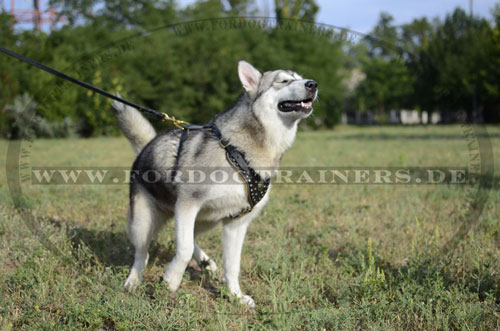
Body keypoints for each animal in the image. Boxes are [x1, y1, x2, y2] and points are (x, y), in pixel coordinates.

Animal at [112, 60, 318, 308]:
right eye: (284, 81)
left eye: (301, 77)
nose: (313, 84)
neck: (238, 151)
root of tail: (146, 146)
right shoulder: (188, 204)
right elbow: (183, 249)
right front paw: (171, 281)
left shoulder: (236, 223)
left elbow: (232, 265)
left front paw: (236, 296)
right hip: (143, 222)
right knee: (143, 253)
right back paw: (133, 280)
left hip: (207, 219)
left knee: (191, 236)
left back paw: (205, 262)